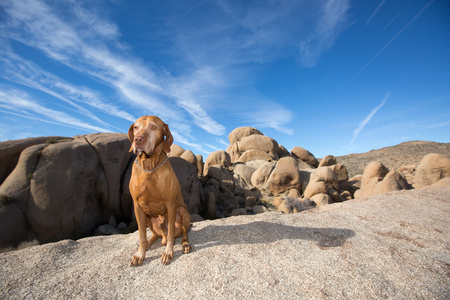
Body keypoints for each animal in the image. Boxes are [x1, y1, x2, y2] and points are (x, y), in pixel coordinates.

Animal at [127, 115, 191, 264]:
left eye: (153, 127)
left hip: (183, 211)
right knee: (154, 235)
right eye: (136, 127)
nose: (137, 139)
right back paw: (149, 244)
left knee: (183, 233)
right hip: (147, 217)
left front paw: (168, 252)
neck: (149, 166)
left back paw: (185, 244)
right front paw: (140, 254)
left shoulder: (170, 204)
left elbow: (171, 233)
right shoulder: (137, 206)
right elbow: (141, 235)